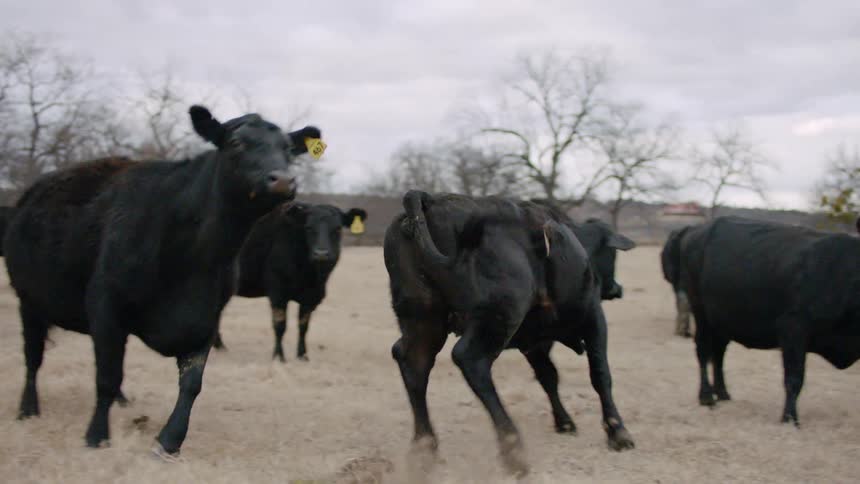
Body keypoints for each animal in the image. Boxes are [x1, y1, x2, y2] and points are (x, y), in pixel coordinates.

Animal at [4, 105, 323, 457]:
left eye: (288, 149)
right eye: (237, 142)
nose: (283, 180)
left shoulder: (206, 318)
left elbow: (191, 384)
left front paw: (169, 441)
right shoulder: (106, 305)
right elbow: (106, 376)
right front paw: (96, 435)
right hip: (29, 300)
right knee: (33, 357)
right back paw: (28, 408)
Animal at [213, 202, 368, 361]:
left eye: (337, 228)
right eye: (308, 227)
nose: (321, 253)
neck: (312, 277)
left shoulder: (310, 297)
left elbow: (303, 326)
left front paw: (302, 356)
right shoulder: (277, 291)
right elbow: (280, 324)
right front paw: (279, 357)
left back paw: (219, 346)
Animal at [384, 191, 635, 477]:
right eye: (612, 255)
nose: (617, 288)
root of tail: (429, 202)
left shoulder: (534, 343)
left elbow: (549, 377)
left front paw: (564, 422)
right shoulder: (593, 317)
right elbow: (600, 374)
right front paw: (617, 431)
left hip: (423, 320)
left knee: (414, 363)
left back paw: (424, 448)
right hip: (499, 316)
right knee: (470, 360)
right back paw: (512, 446)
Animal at [680, 215, 860, 425]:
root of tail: (697, 229)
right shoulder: (792, 329)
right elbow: (794, 378)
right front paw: (789, 419)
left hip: (721, 321)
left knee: (718, 354)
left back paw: (723, 393)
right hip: (701, 312)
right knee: (702, 351)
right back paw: (706, 396)